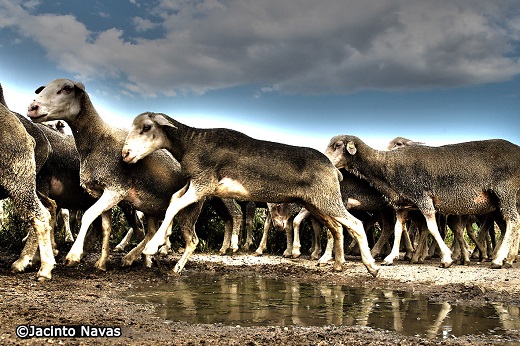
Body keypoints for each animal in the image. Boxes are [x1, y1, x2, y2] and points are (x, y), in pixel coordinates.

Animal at [122, 112, 380, 278]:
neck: (191, 143)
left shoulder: (203, 183)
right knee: (336, 227)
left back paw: (372, 267)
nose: (125, 154)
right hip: (315, 202)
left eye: (146, 127)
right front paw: (157, 245)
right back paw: (337, 264)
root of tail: (335, 170)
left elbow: (174, 207)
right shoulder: (194, 183)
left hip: (327, 198)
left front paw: (152, 247)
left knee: (355, 224)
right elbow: (174, 201)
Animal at [324, 134, 520, 268]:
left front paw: (446, 258)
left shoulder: (423, 198)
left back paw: (498, 259)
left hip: (505, 192)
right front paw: (390, 258)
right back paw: (508, 258)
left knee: (513, 221)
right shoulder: (402, 205)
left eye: (338, 145)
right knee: (513, 223)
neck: (386, 168)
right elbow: (398, 229)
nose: (324, 160)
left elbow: (432, 228)